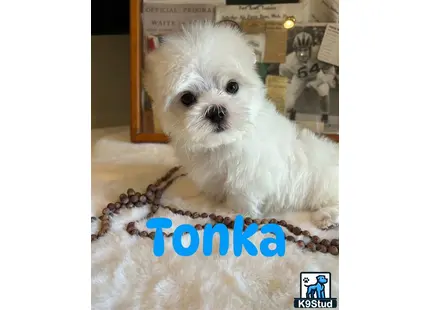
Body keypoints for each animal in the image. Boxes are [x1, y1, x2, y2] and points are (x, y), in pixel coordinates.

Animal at [143, 21, 338, 229]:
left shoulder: (249, 175)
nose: (216, 111)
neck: (223, 143)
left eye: (232, 86)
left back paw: (326, 216)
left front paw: (233, 213)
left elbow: (241, 197)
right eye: (187, 98)